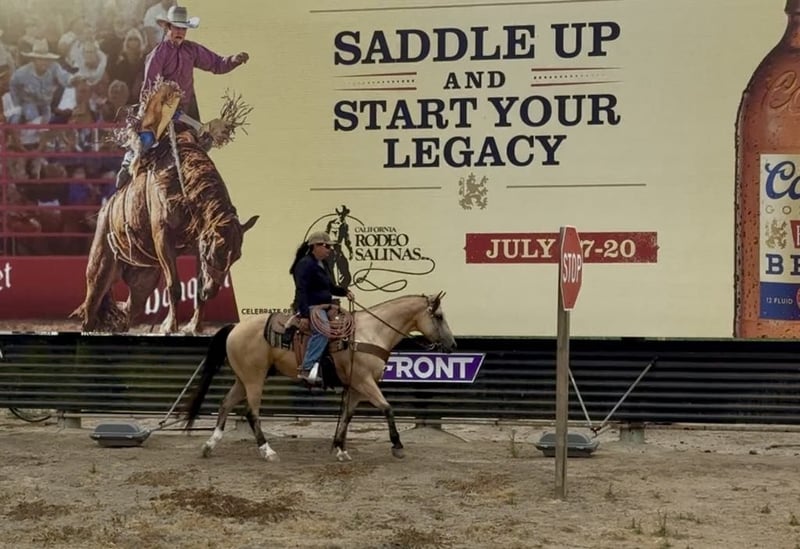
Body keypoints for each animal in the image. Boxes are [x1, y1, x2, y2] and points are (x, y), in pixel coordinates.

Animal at [71, 79, 258, 334]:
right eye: (214, 252)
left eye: (236, 256)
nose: (212, 291)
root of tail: (105, 209)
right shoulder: (163, 238)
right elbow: (174, 286)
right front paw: (170, 325)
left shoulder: (198, 242)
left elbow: (197, 287)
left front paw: (194, 326)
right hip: (100, 268)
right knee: (91, 306)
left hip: (143, 277)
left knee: (129, 310)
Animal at [183, 292, 457, 462]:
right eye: (439, 316)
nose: (452, 345)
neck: (371, 333)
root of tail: (235, 327)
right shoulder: (364, 382)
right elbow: (387, 408)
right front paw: (397, 447)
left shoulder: (356, 388)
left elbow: (346, 416)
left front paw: (340, 449)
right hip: (254, 379)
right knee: (251, 413)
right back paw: (267, 451)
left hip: (243, 378)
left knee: (225, 403)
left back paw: (210, 445)